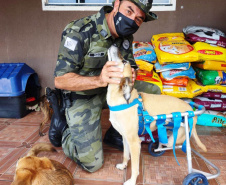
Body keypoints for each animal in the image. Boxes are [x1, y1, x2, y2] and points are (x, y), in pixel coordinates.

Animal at [106, 44, 207, 185]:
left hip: (177, 136)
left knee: (178, 146)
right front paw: (124, 165)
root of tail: (190, 108)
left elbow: (135, 167)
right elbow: (126, 155)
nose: (115, 44)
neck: (120, 98)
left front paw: (132, 180)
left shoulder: (134, 142)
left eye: (124, 61)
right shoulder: (125, 138)